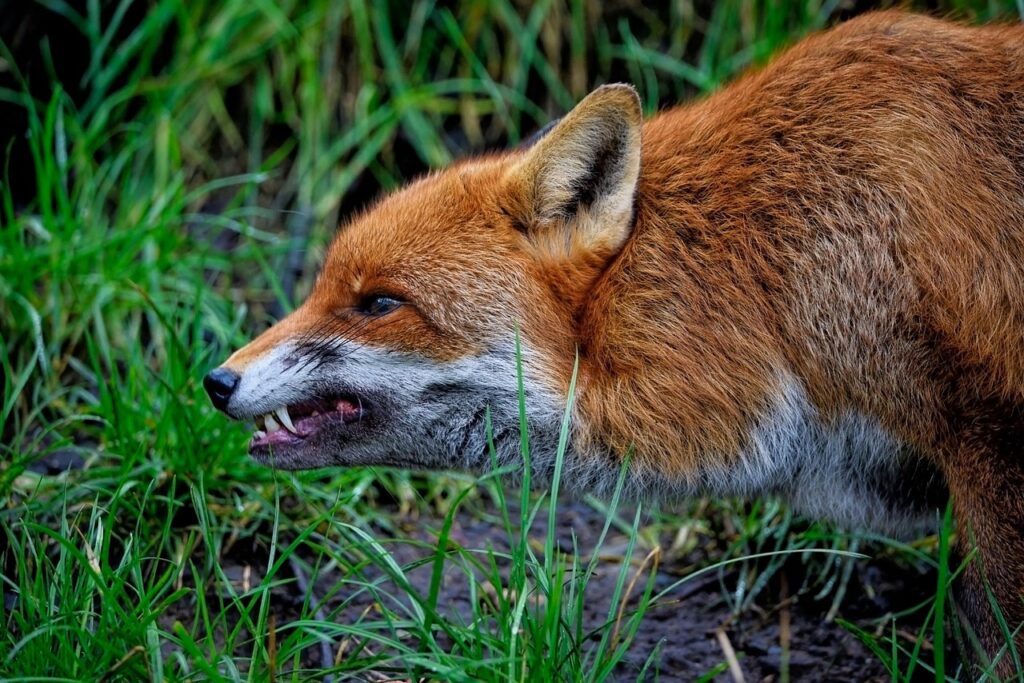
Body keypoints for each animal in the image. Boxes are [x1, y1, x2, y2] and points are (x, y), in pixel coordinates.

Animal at [205, 10, 1024, 672]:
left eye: (379, 302)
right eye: (318, 288)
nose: (215, 381)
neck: (778, 276)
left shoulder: (991, 447)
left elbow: (995, 636)